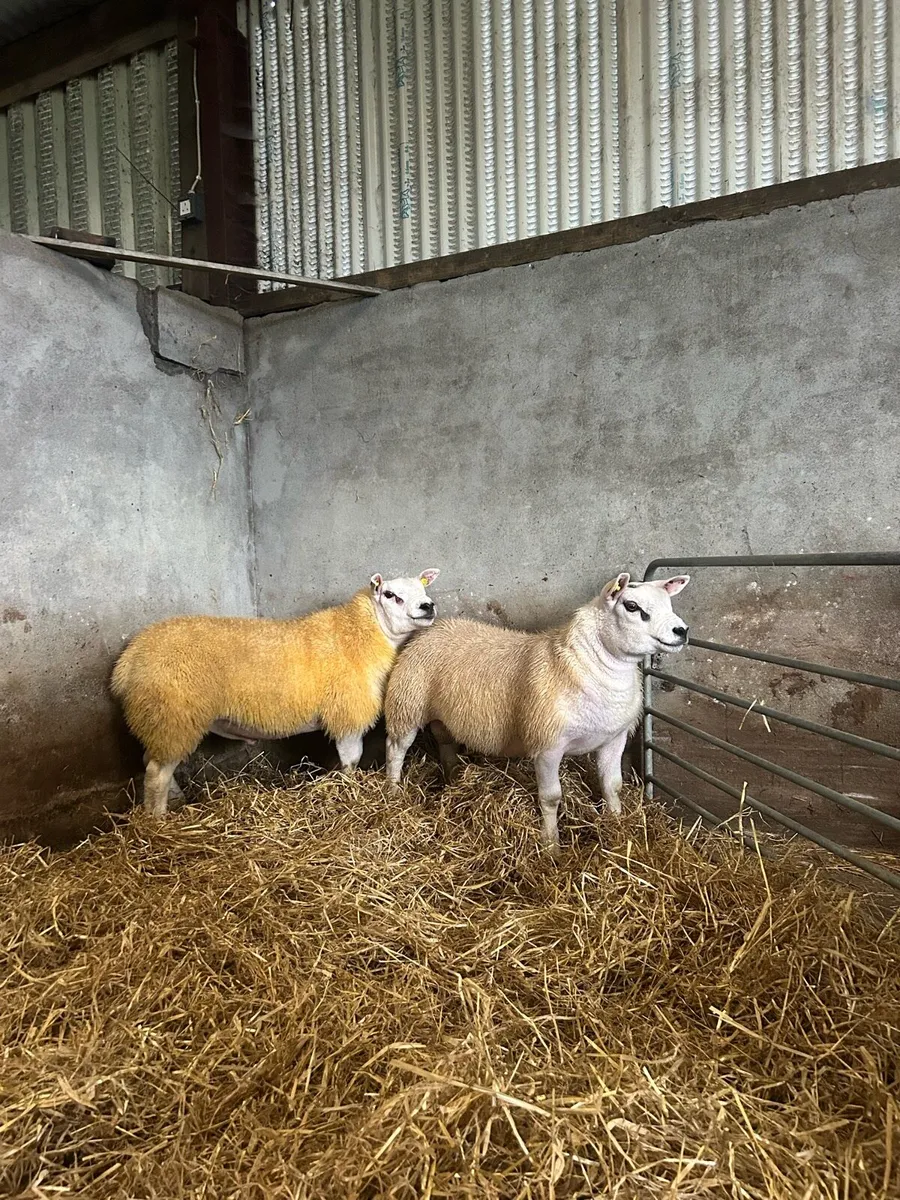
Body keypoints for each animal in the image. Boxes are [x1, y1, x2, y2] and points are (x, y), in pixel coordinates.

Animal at [112, 570, 440, 817]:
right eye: (391, 595)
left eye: (423, 588)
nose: (428, 606)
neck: (362, 635)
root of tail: (130, 658)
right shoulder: (346, 713)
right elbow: (351, 760)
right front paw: (349, 790)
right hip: (173, 714)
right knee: (156, 773)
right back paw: (158, 819)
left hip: (160, 720)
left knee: (152, 761)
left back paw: (175, 800)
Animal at [384, 572, 690, 850]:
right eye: (632, 606)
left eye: (668, 603)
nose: (682, 631)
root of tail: (435, 627)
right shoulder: (547, 745)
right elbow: (551, 797)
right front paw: (551, 846)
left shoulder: (614, 738)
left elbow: (613, 785)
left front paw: (616, 824)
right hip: (407, 703)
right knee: (396, 748)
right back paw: (393, 789)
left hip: (442, 715)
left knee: (445, 743)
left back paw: (452, 780)